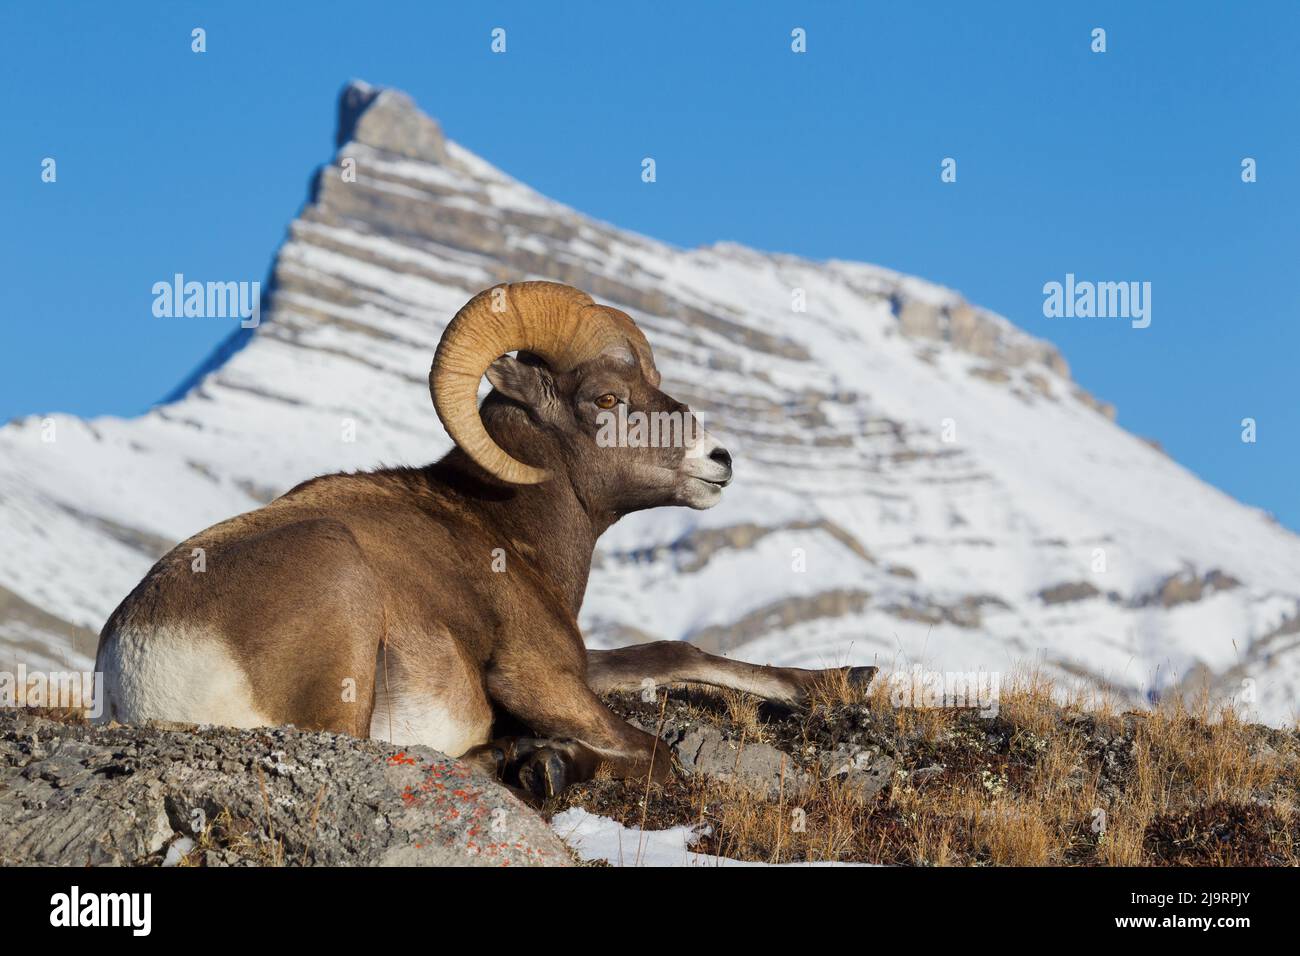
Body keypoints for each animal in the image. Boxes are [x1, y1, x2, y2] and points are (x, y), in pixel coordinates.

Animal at [94, 281, 875, 797]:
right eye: (607, 399)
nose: (719, 461)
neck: (506, 530)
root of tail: (140, 659)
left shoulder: (582, 662)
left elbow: (672, 652)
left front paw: (844, 679)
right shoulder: (537, 675)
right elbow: (658, 754)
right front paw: (549, 761)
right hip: (343, 605)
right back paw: (524, 762)